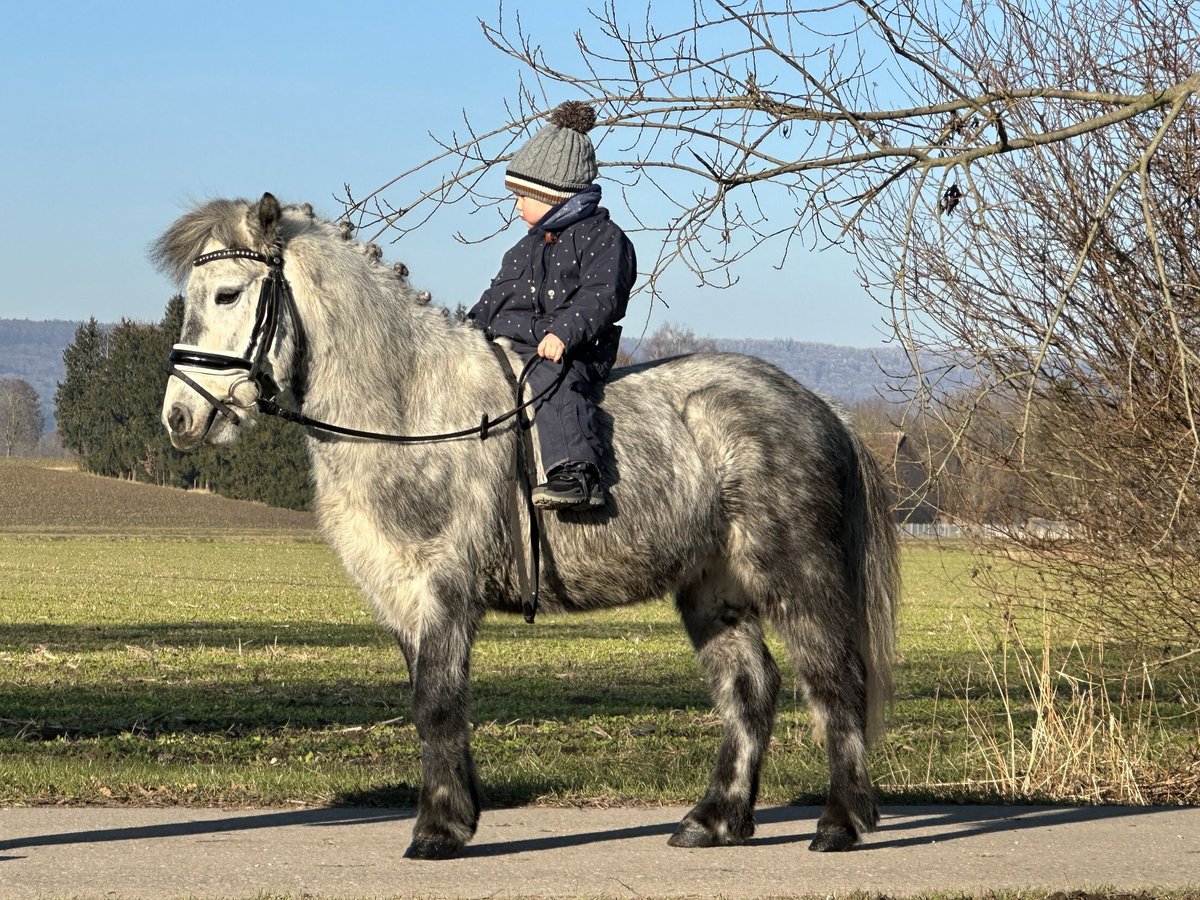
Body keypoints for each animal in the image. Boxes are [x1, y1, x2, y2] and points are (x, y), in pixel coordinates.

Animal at [154, 195, 897, 859]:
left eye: (227, 294)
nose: (179, 419)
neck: (411, 410)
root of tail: (821, 407)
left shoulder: (443, 585)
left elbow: (437, 702)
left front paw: (437, 831)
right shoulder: (401, 596)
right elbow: (434, 701)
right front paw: (461, 812)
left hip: (798, 577)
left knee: (836, 681)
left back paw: (840, 822)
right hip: (713, 590)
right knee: (750, 691)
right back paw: (713, 821)